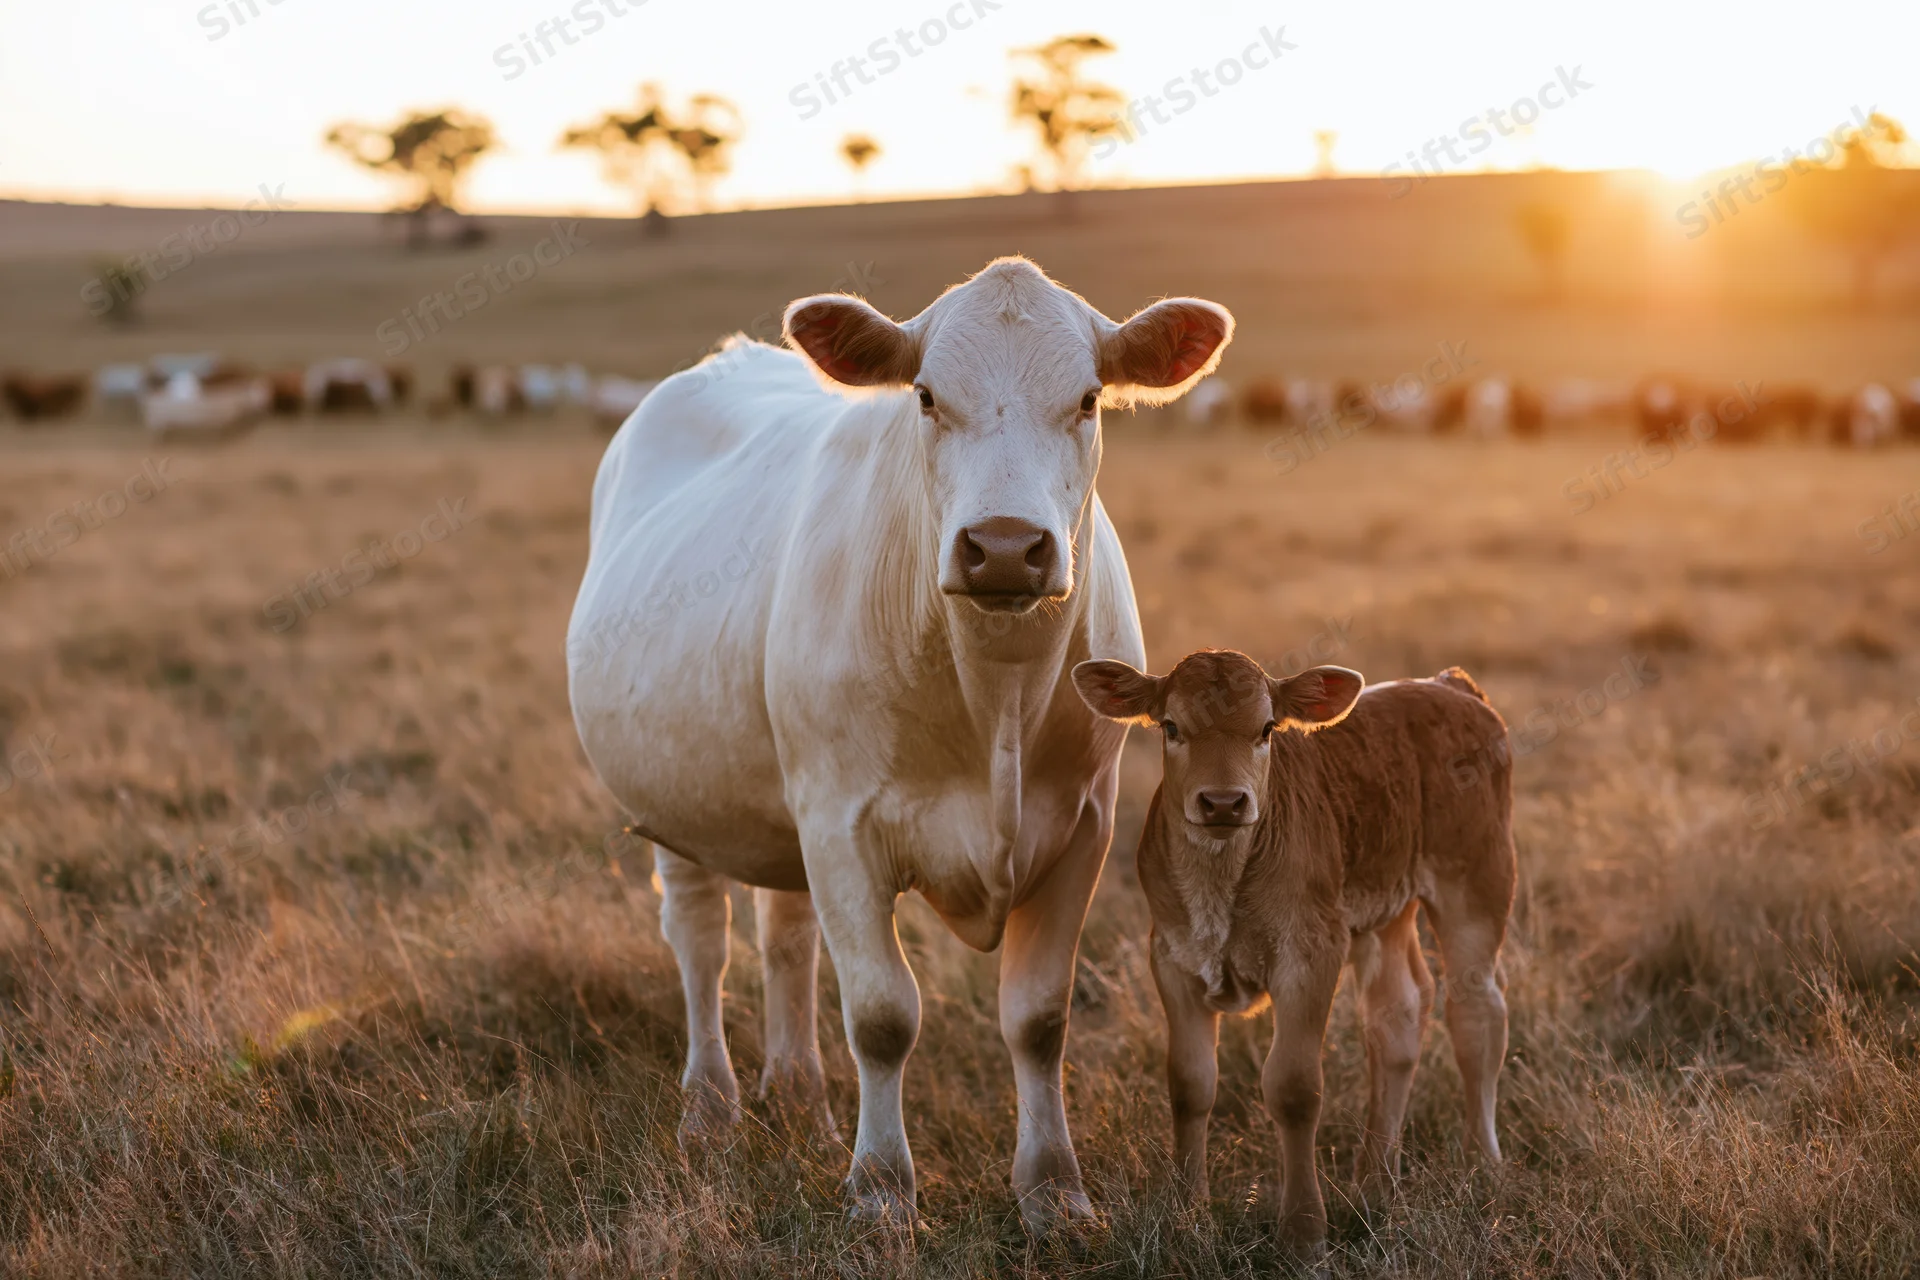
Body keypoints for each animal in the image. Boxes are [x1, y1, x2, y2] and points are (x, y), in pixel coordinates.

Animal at [567, 257, 1232, 1230]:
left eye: (1087, 398)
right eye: (924, 396)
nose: (1005, 547)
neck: (996, 699)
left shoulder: (1084, 827)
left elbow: (1039, 1018)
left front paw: (1054, 1190)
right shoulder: (842, 824)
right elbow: (882, 1015)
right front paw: (881, 1188)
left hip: (782, 811)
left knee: (786, 938)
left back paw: (798, 1099)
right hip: (675, 803)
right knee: (700, 941)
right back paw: (711, 1110)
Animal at [1071, 652, 1515, 1252]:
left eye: (1266, 729)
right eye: (1171, 727)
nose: (1223, 802)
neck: (1222, 884)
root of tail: (1448, 685)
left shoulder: (1311, 951)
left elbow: (1294, 1088)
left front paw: (1304, 1235)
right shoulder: (1171, 956)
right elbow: (1189, 1083)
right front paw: (1186, 1212)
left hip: (1477, 881)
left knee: (1477, 1012)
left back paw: (1481, 1166)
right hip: (1385, 905)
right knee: (1397, 1014)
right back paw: (1375, 1185)